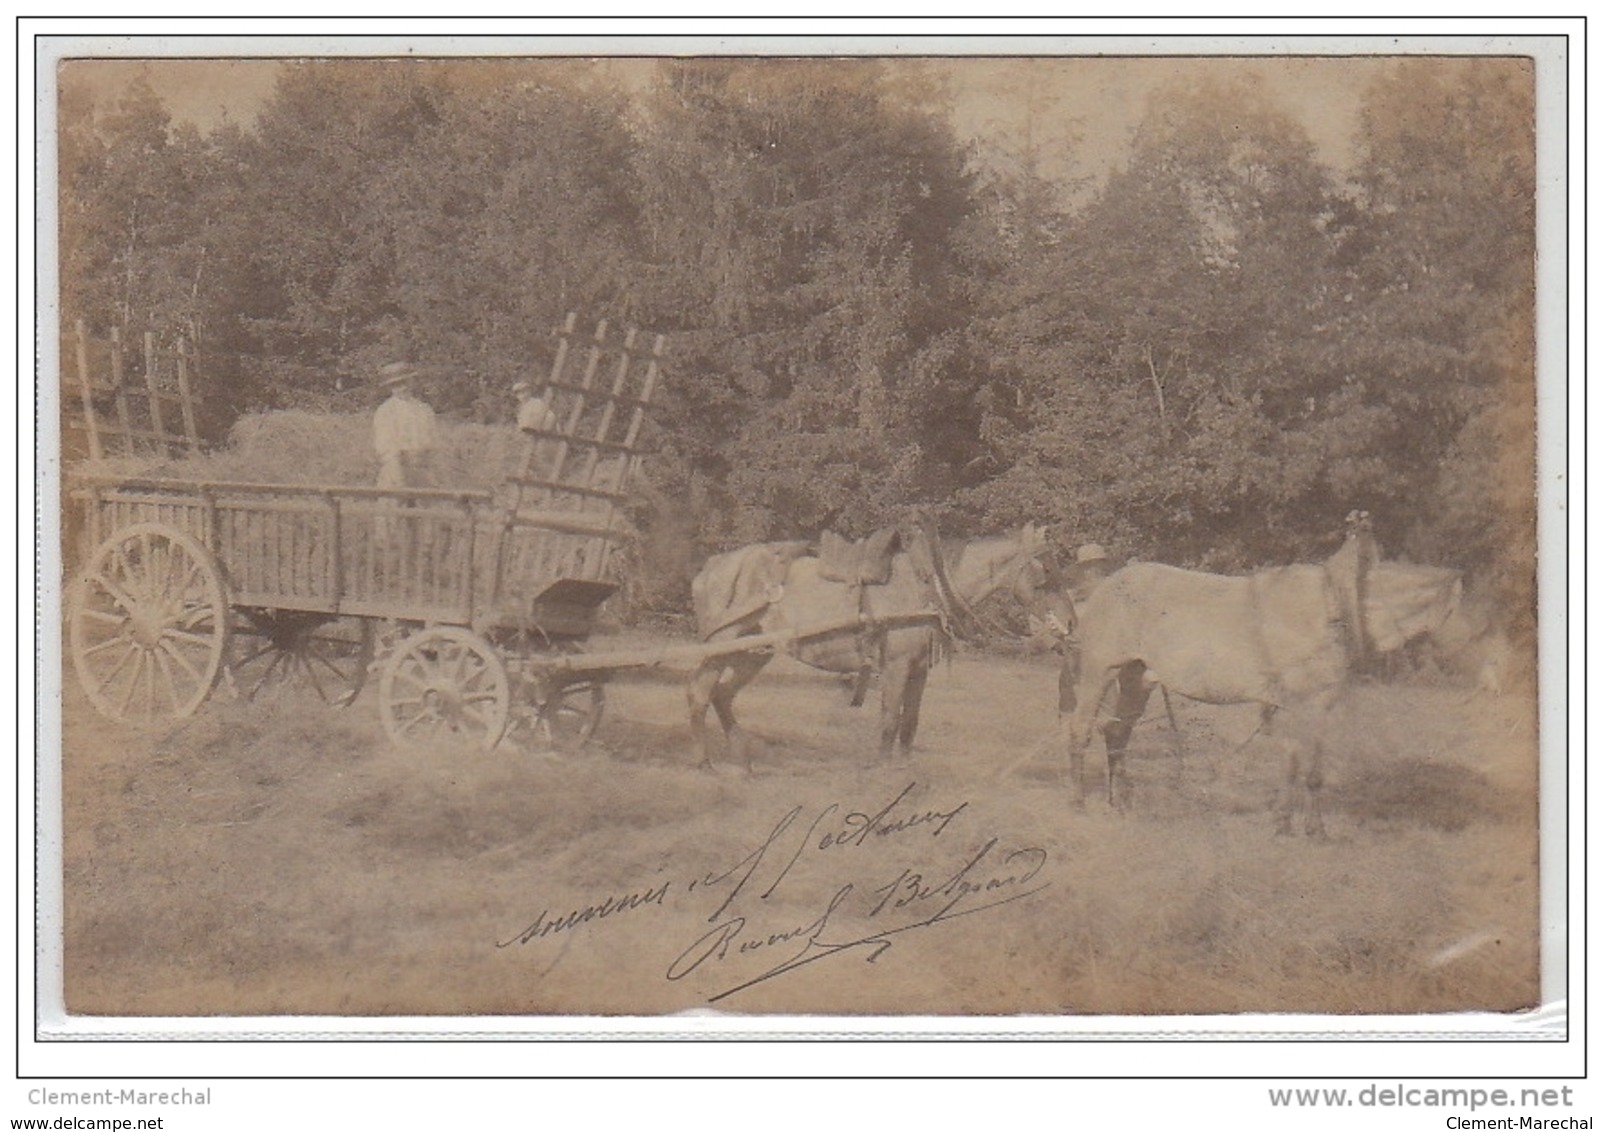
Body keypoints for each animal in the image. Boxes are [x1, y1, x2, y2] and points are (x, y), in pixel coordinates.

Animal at [689, 519, 1051, 766]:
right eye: (1047, 572)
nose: (1058, 625)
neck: (925, 588)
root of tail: (710, 567)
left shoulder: (918, 670)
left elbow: (909, 723)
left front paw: (904, 770)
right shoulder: (895, 666)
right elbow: (890, 720)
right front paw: (882, 770)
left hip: (752, 651)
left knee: (722, 695)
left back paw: (742, 761)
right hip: (721, 645)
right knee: (700, 695)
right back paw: (704, 763)